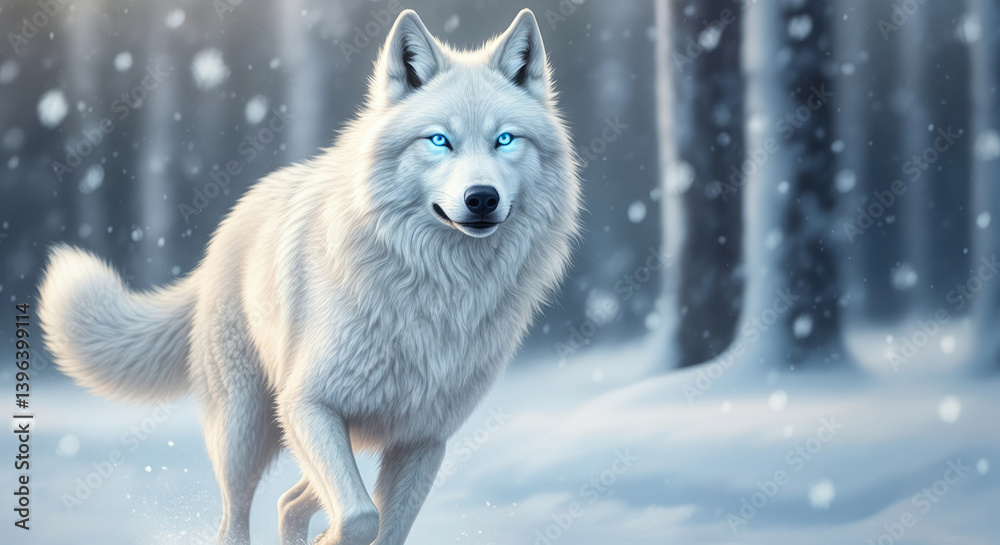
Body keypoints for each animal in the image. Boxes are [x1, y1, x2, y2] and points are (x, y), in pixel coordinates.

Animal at [38, 8, 581, 545]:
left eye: (504, 139)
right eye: (439, 140)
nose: (482, 198)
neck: (437, 289)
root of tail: (229, 225)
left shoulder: (423, 439)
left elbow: (382, 526)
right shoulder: (308, 405)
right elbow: (361, 517)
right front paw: (334, 538)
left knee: (288, 501)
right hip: (247, 429)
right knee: (236, 518)